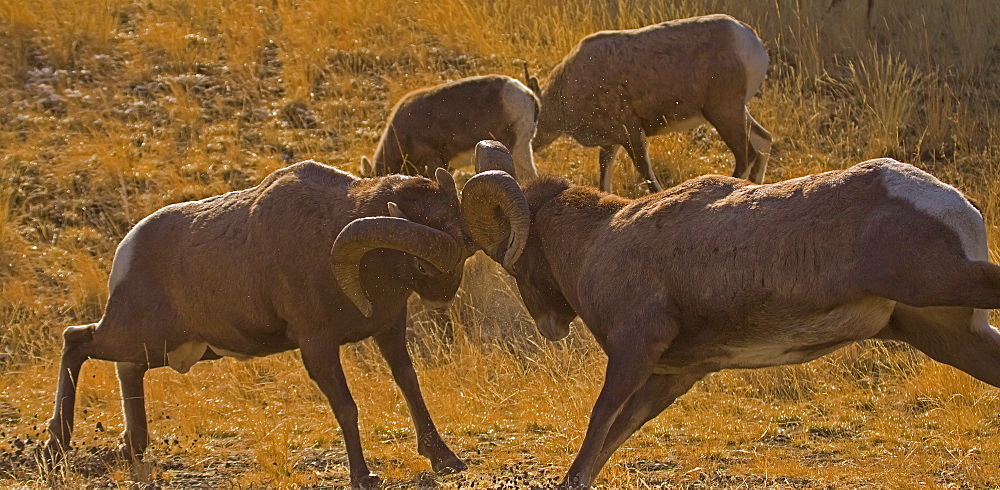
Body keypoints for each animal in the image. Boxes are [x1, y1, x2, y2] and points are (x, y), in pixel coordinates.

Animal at [45, 160, 532, 486]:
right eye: (421, 261)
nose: (442, 295)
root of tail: (125, 254)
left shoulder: (388, 329)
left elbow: (410, 387)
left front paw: (444, 458)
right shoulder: (317, 346)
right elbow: (346, 407)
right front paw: (364, 476)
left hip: (165, 350)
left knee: (123, 371)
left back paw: (131, 446)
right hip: (134, 337)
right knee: (76, 341)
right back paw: (56, 447)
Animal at [464, 141, 1000, 486]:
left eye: (519, 264)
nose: (550, 328)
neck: (600, 240)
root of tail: (954, 205)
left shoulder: (634, 352)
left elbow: (594, 436)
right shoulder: (671, 376)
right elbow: (605, 445)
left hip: (941, 283)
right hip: (951, 335)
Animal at [532, 14, 772, 191]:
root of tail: (750, 38)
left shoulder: (631, 132)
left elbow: (646, 174)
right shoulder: (611, 142)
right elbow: (604, 179)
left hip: (723, 112)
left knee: (747, 155)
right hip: (735, 112)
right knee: (764, 140)